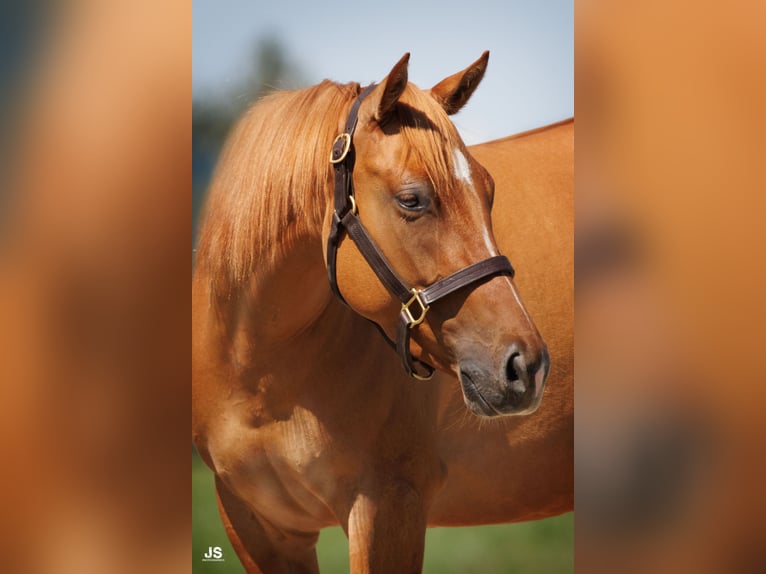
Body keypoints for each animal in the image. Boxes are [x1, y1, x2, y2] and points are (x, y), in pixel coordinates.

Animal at [192, 52, 573, 573]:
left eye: (489, 191)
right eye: (411, 199)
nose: (526, 366)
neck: (258, 376)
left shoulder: (389, 505)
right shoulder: (256, 523)